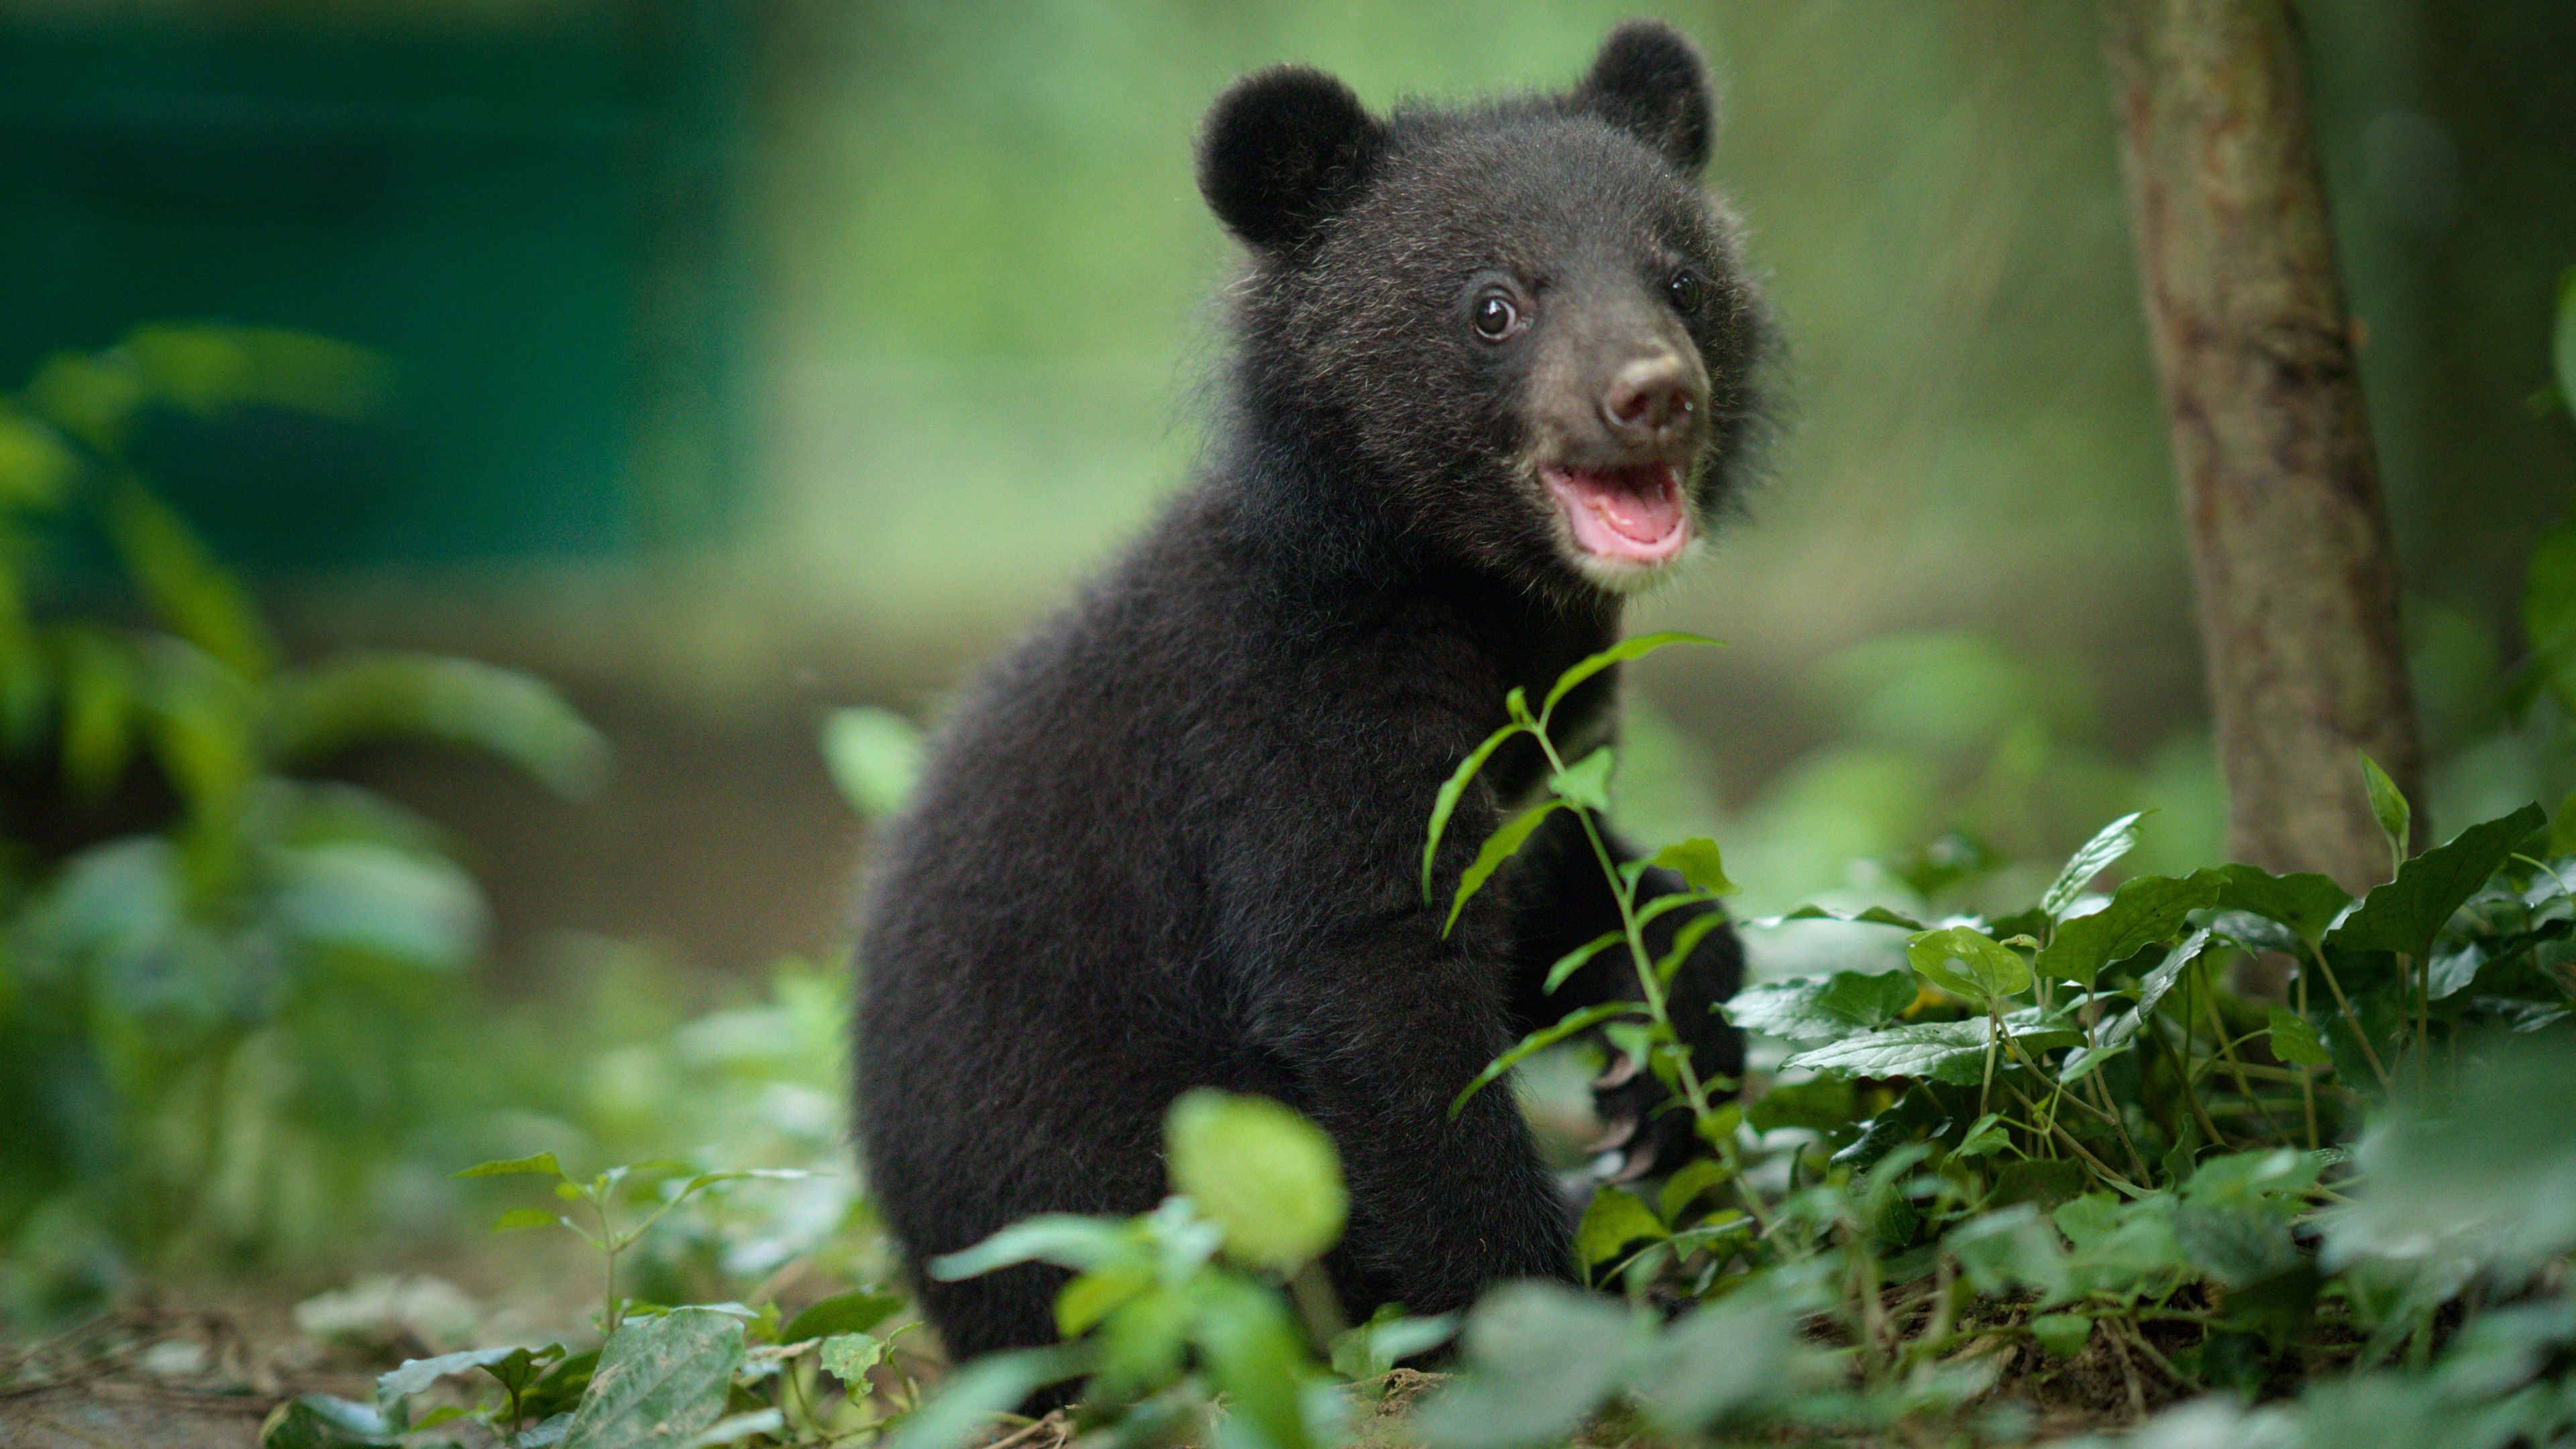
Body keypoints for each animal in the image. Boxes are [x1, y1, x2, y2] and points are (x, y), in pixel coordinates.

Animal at [853, 19, 1766, 1366]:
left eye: (1684, 283)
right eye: (1495, 305)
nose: (1655, 393)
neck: (1470, 593)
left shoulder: (1551, 742)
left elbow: (1569, 878)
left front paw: (1660, 1069)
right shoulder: (1293, 720)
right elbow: (1384, 1002)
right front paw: (1536, 1309)